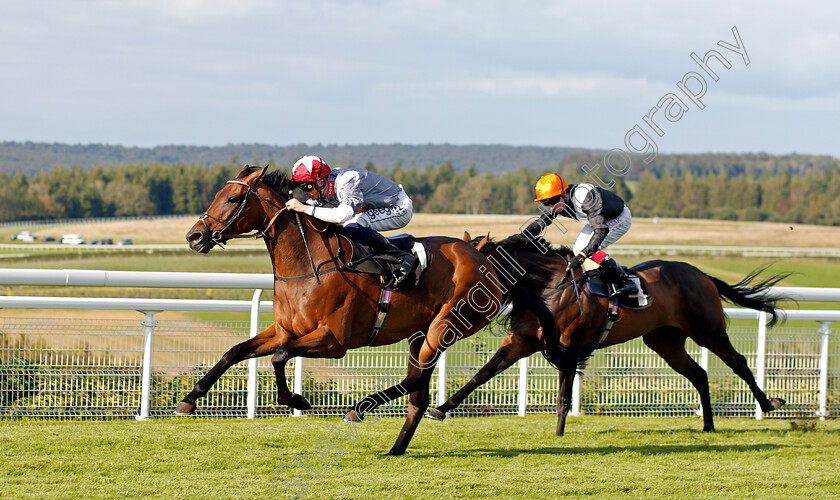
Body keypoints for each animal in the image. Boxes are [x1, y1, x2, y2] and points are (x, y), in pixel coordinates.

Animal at [430, 233, 792, 434]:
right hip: (664, 341)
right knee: (700, 374)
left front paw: (559, 433)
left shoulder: (570, 346)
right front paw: (441, 408)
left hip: (708, 330)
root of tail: (701, 274)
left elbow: (563, 396)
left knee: (738, 362)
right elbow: (481, 374)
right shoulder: (521, 341)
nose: (451, 299)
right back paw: (708, 425)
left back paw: (769, 403)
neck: (547, 286)